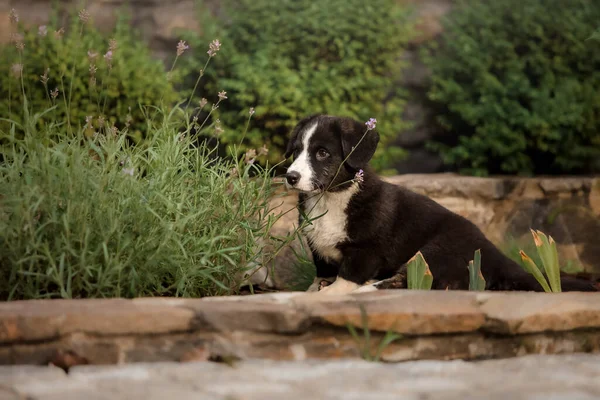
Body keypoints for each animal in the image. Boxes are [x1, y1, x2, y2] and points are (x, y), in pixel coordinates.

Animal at [284, 114, 596, 296]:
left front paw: (330, 293)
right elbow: (322, 272)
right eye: (296, 151)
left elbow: (348, 277)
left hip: (435, 250)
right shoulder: (319, 249)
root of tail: (497, 254)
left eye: (322, 153)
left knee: (414, 281)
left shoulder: (367, 250)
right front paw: (316, 287)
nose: (290, 177)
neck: (332, 197)